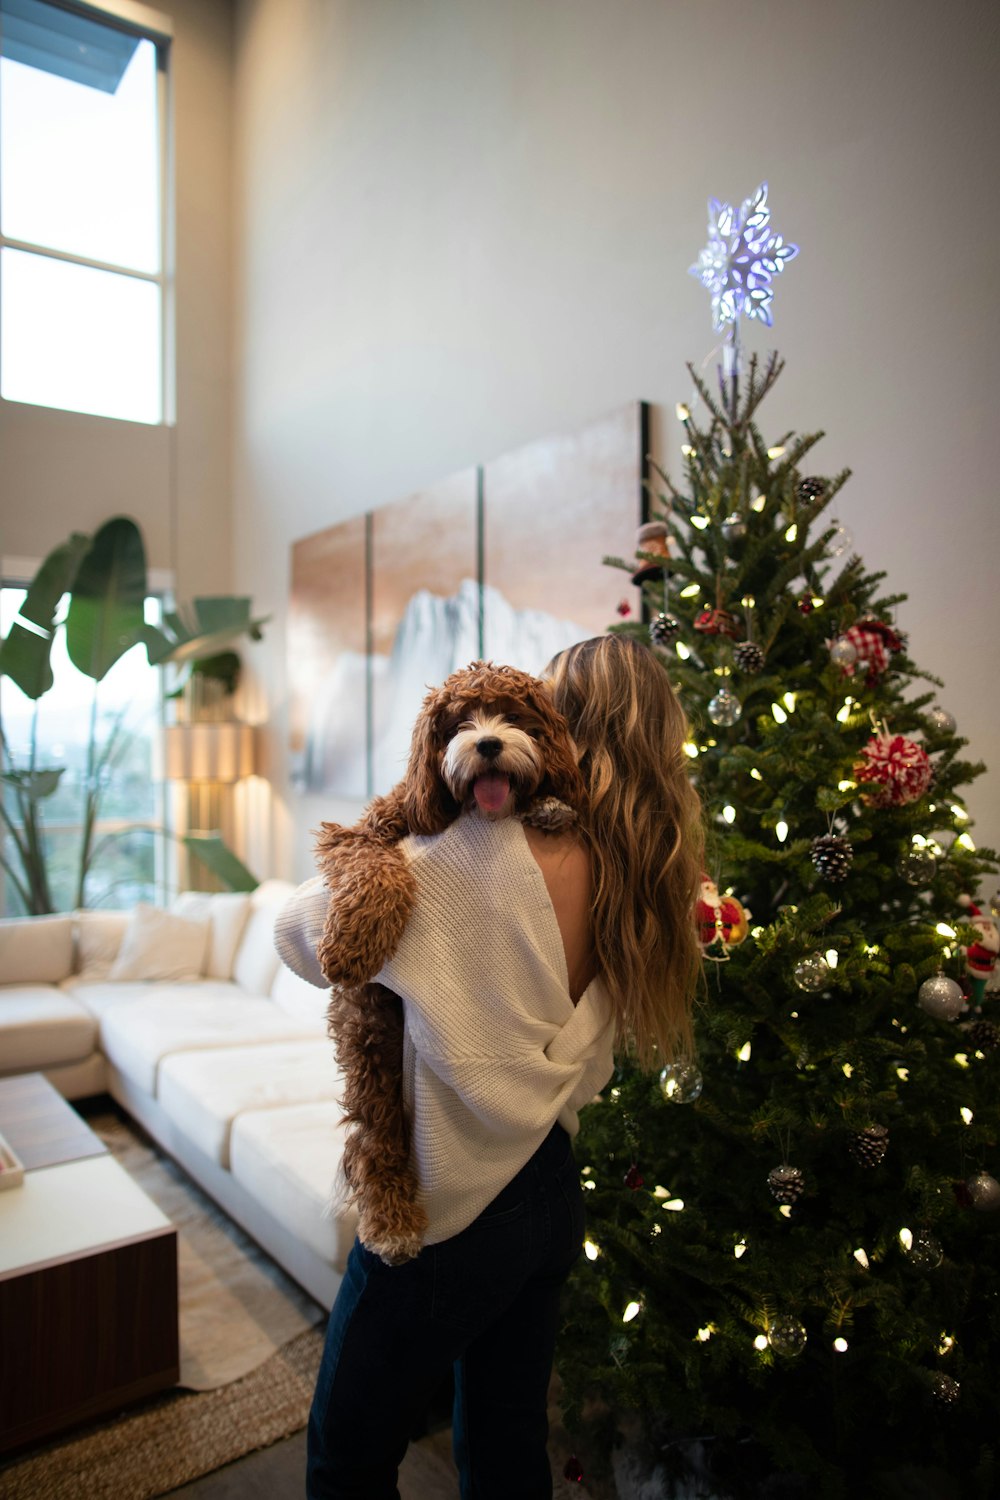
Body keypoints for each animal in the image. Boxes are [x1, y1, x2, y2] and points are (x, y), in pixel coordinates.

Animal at [314, 663, 587, 1260]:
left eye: (512, 717)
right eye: (458, 723)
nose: (486, 743)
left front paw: (550, 805)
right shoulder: (362, 830)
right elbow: (374, 864)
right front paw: (354, 939)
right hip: (368, 1038)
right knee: (375, 1140)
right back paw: (391, 1221)